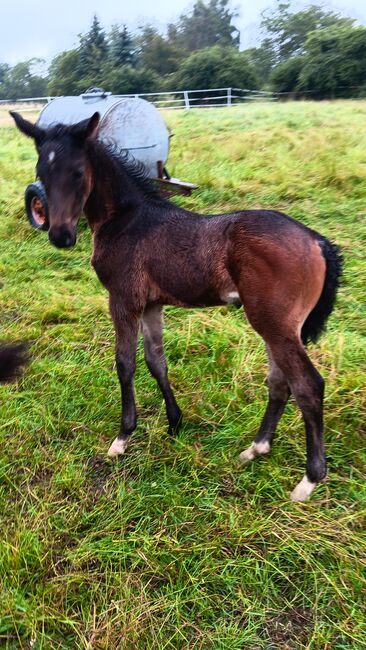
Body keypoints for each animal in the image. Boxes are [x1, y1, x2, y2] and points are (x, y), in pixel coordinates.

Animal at [12, 111, 344, 498]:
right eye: (41, 171)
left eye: (78, 172)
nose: (61, 236)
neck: (126, 219)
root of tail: (317, 241)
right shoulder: (152, 304)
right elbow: (156, 361)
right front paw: (175, 423)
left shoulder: (123, 299)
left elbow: (125, 363)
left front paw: (123, 437)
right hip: (276, 326)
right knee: (279, 382)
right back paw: (256, 448)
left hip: (274, 324)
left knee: (307, 386)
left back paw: (308, 480)